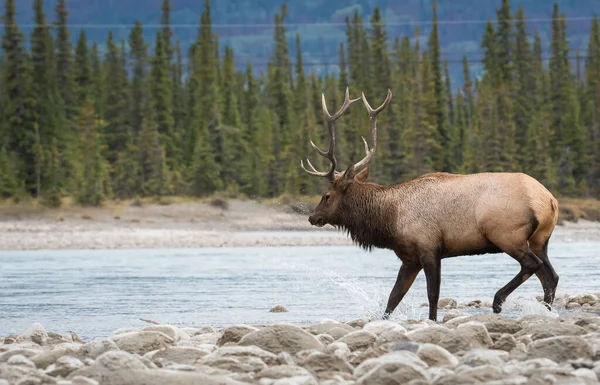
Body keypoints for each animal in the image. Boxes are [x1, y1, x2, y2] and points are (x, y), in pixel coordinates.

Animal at [302, 87, 560, 320]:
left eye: (327, 195)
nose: (312, 217)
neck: (389, 219)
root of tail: (549, 200)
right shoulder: (409, 258)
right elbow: (393, 298)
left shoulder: (429, 248)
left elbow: (432, 295)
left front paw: (432, 320)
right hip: (539, 240)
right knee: (551, 276)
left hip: (507, 235)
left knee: (533, 265)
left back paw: (498, 301)